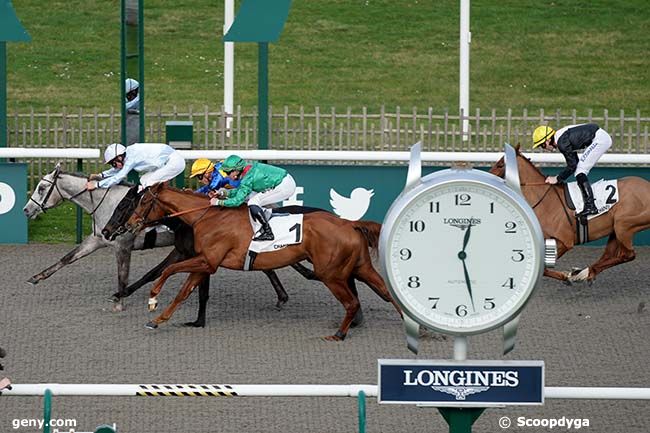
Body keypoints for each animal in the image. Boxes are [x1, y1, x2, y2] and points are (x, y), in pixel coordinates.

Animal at [109, 182, 400, 338]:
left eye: (139, 202)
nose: (126, 227)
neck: (205, 216)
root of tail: (350, 223)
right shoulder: (204, 262)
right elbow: (184, 291)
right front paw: (158, 319)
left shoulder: (206, 261)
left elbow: (169, 270)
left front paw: (152, 298)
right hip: (360, 267)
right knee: (387, 294)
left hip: (332, 274)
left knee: (352, 301)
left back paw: (340, 333)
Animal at [488, 145, 648, 284]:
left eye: (501, 165)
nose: (489, 176)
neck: (546, 200)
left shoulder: (565, 241)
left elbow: (543, 268)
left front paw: (566, 276)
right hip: (615, 229)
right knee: (609, 255)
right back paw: (584, 272)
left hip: (623, 224)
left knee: (628, 254)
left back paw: (583, 273)